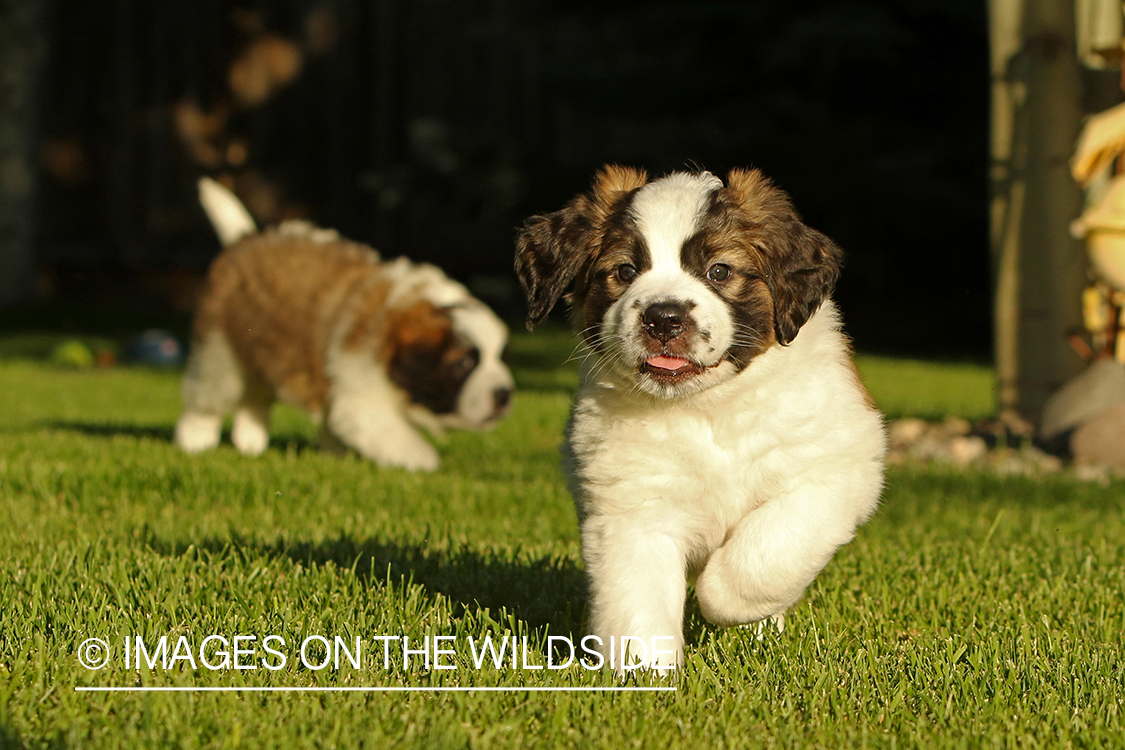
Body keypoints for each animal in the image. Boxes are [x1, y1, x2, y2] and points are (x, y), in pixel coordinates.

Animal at [176, 177, 515, 470]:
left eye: (498, 356)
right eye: (463, 364)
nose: (504, 394)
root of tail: (244, 240)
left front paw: (335, 452)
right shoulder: (361, 393)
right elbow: (392, 432)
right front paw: (423, 463)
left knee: (255, 396)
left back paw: (250, 440)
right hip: (221, 350)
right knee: (207, 397)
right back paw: (196, 440)